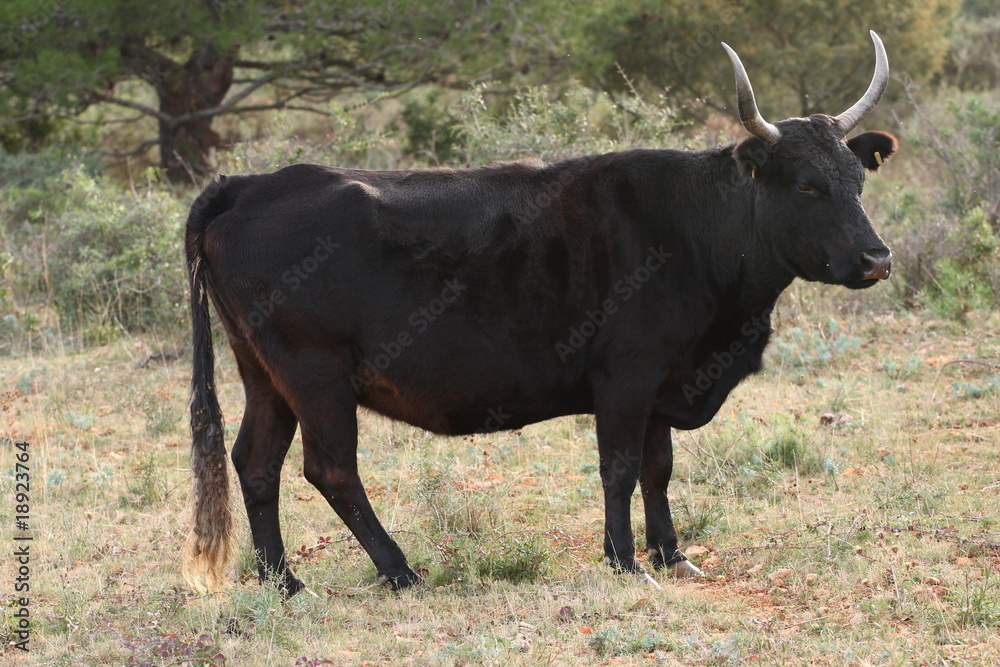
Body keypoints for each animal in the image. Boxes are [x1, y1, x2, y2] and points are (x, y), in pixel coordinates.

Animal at [186, 34, 900, 592]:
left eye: (857, 180)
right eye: (807, 185)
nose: (876, 258)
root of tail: (250, 183)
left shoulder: (664, 381)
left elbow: (658, 467)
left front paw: (673, 558)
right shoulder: (627, 377)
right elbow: (619, 468)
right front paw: (625, 562)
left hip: (265, 376)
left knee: (255, 462)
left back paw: (284, 582)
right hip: (316, 376)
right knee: (331, 468)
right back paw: (400, 571)